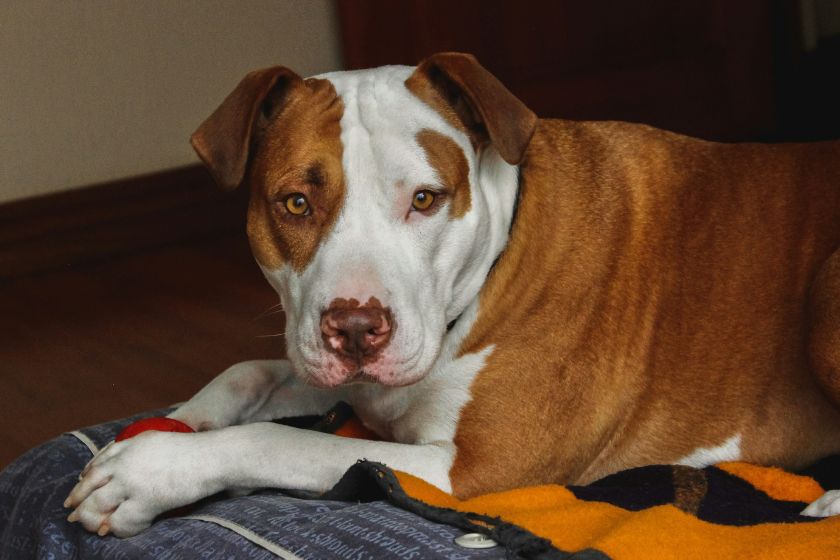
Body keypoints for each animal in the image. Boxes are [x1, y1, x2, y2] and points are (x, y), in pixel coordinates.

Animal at [64, 53, 840, 540]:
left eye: (426, 199)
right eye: (295, 203)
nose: (356, 328)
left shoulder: (473, 470)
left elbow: (278, 440)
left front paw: (149, 473)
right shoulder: (350, 381)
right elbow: (246, 373)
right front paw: (177, 422)